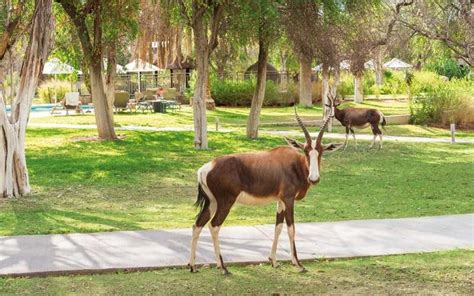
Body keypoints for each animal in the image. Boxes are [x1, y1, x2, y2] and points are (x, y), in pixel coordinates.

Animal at [187, 108, 342, 276]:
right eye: (306, 151)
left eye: (321, 151)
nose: (314, 179)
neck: (294, 164)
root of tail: (205, 168)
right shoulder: (288, 199)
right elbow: (291, 228)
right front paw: (298, 264)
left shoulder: (280, 201)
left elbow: (278, 227)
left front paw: (273, 261)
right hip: (225, 203)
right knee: (214, 226)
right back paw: (222, 267)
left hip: (212, 203)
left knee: (197, 225)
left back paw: (193, 266)